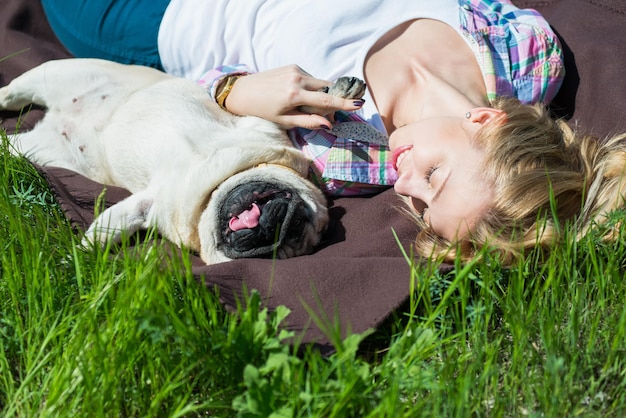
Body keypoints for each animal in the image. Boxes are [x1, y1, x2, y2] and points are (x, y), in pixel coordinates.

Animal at [0, 58, 366, 264]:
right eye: (290, 206)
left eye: (281, 248)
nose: (271, 228)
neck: (208, 190)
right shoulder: (262, 123)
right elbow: (306, 110)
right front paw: (336, 96)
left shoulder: (147, 206)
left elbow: (109, 226)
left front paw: (81, 253)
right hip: (57, 74)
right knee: (13, 92)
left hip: (35, 150)